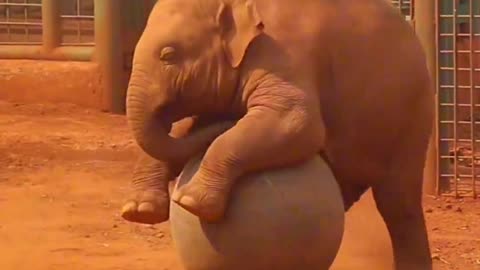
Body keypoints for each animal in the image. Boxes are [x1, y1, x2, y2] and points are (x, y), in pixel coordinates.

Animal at [121, 1, 436, 268]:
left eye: (168, 55)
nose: (231, 117)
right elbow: (186, 129)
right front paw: (137, 210)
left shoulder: (284, 53)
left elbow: (300, 123)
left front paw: (189, 202)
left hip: (413, 115)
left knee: (398, 202)